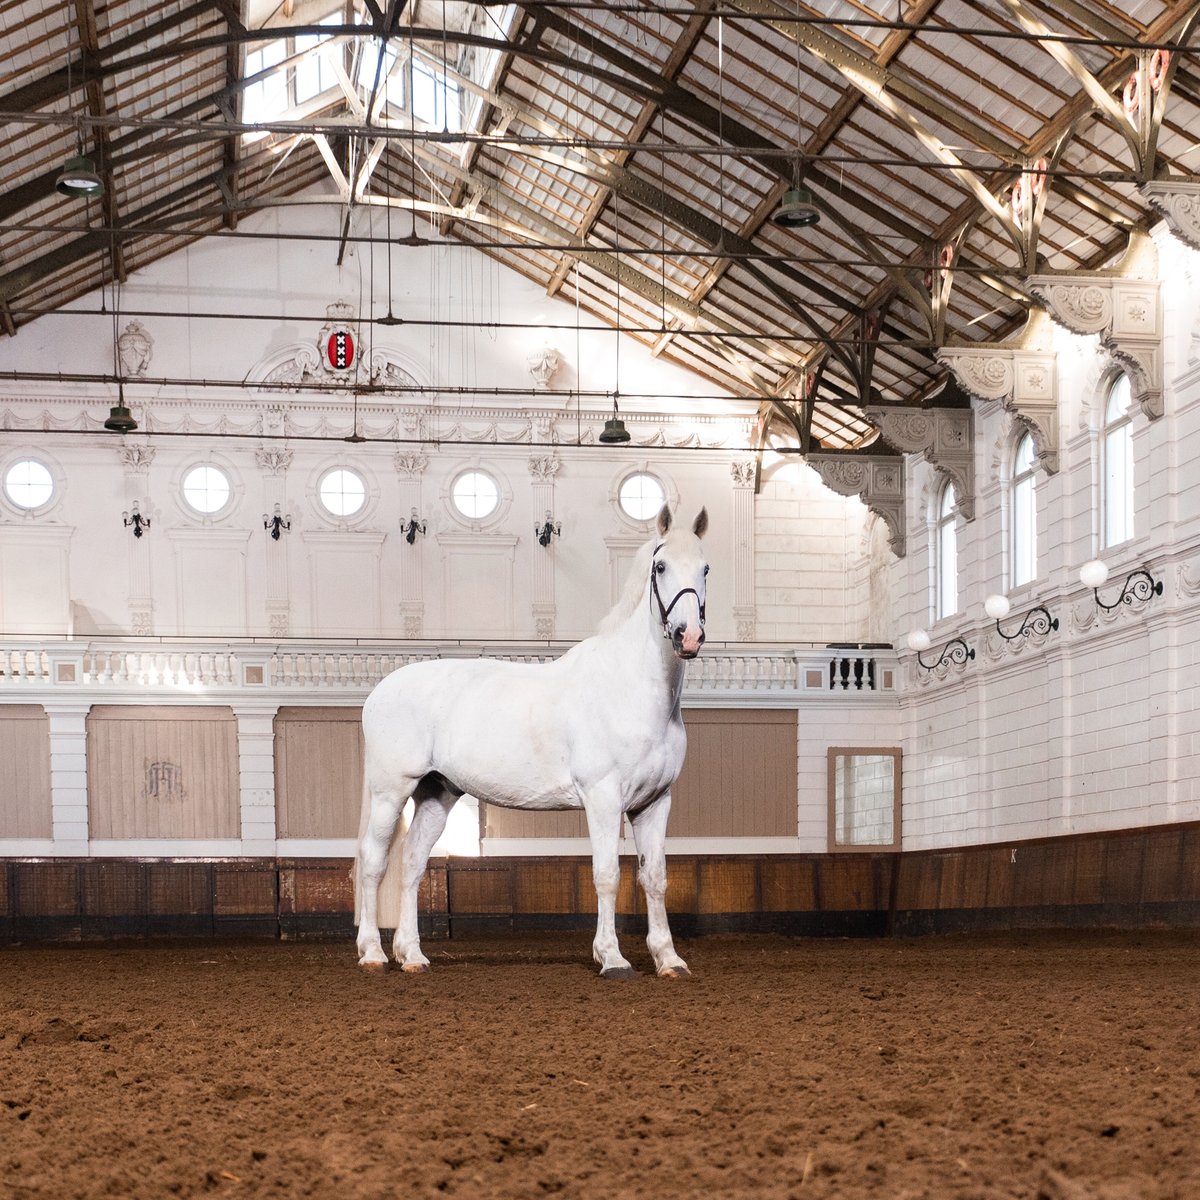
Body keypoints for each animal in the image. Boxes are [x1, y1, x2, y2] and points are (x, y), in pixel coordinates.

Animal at [355, 501, 710, 979]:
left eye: (705, 568)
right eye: (660, 566)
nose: (688, 637)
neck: (630, 687)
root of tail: (379, 692)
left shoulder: (654, 802)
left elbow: (654, 878)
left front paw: (668, 959)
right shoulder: (603, 798)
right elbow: (607, 875)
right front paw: (612, 958)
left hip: (436, 793)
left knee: (412, 864)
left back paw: (412, 956)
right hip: (390, 791)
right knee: (374, 863)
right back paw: (373, 954)